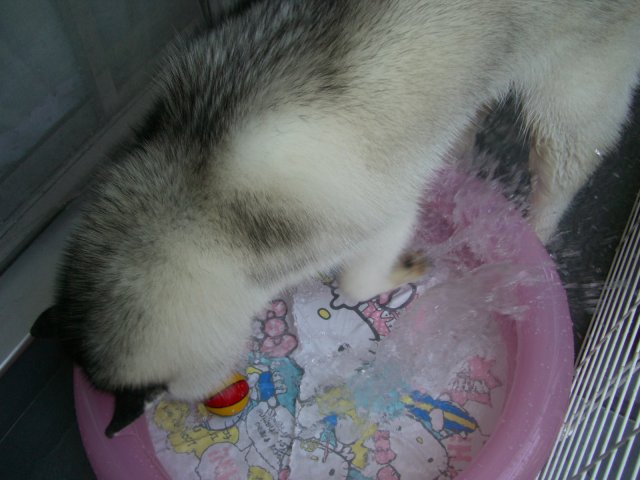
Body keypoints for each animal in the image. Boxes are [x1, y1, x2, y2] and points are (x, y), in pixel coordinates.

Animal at [31, 0, 640, 436]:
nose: (212, 397)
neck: (196, 190)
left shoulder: (382, 216)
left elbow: (358, 280)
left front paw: (397, 273)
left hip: (572, 101)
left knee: (562, 169)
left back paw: (537, 230)